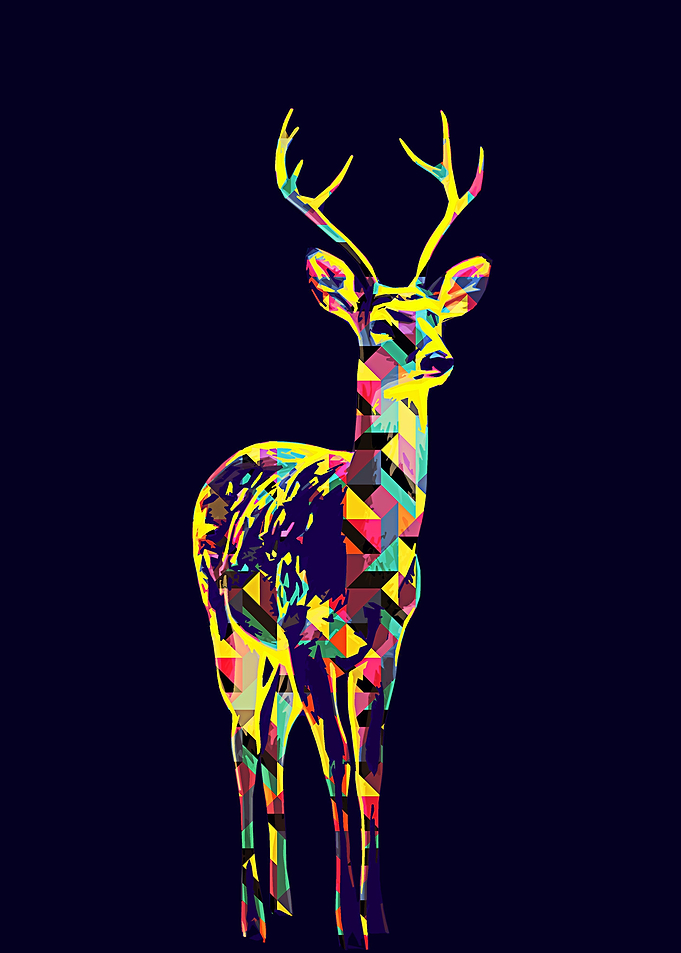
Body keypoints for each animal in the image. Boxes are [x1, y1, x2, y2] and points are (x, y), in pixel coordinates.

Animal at [192, 108, 491, 949]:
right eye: (381, 319)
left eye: (435, 313)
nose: (439, 356)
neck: (367, 562)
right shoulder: (305, 630)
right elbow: (338, 774)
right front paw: (346, 924)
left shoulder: (389, 639)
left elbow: (373, 773)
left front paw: (376, 919)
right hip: (230, 628)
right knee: (241, 738)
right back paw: (253, 916)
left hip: (276, 658)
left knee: (271, 737)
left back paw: (282, 900)